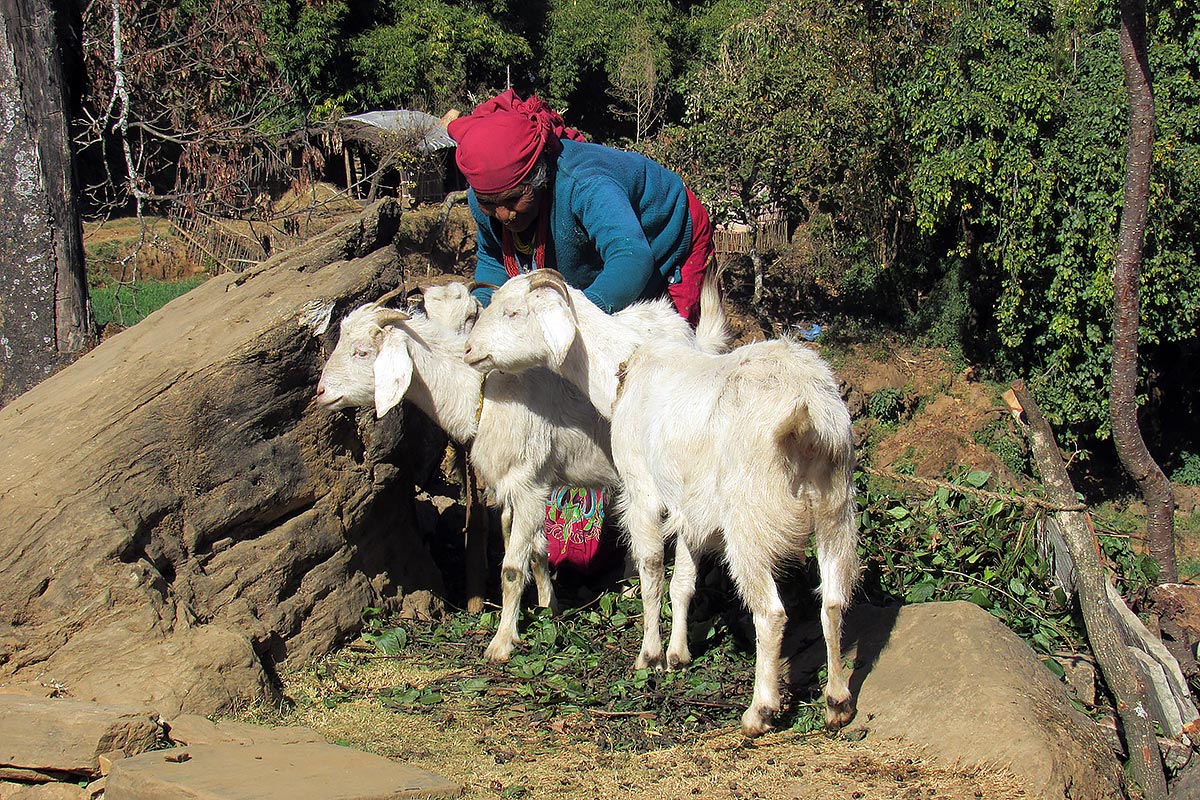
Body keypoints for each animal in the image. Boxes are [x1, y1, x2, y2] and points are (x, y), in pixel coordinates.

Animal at [316, 284, 619, 662]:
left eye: (362, 351)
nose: (321, 393)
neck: (484, 393)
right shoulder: (520, 487)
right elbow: (536, 551)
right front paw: (549, 609)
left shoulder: (527, 483)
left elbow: (511, 570)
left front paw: (501, 644)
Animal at [460, 271, 864, 738]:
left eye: (513, 312)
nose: (469, 351)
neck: (624, 368)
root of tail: (808, 414)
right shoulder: (690, 507)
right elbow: (681, 582)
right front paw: (677, 655)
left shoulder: (642, 490)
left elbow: (651, 570)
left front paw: (649, 655)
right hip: (836, 508)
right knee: (832, 602)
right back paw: (837, 702)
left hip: (750, 520)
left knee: (771, 613)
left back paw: (759, 711)